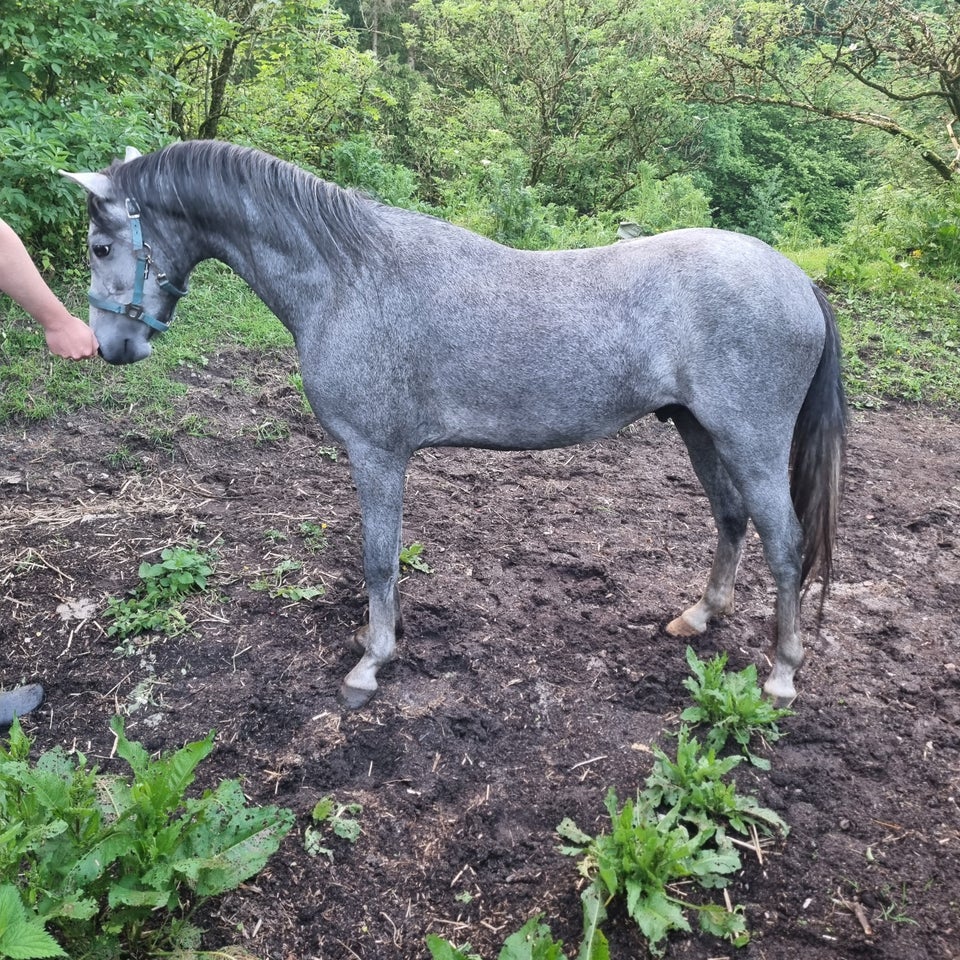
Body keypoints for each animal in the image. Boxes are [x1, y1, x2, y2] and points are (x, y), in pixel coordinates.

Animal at [62, 141, 848, 704]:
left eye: (101, 248)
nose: (110, 346)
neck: (347, 279)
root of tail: (796, 280)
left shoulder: (377, 455)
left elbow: (378, 559)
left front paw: (370, 664)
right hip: (697, 429)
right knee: (731, 519)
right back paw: (699, 617)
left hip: (749, 440)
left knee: (784, 544)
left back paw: (782, 674)